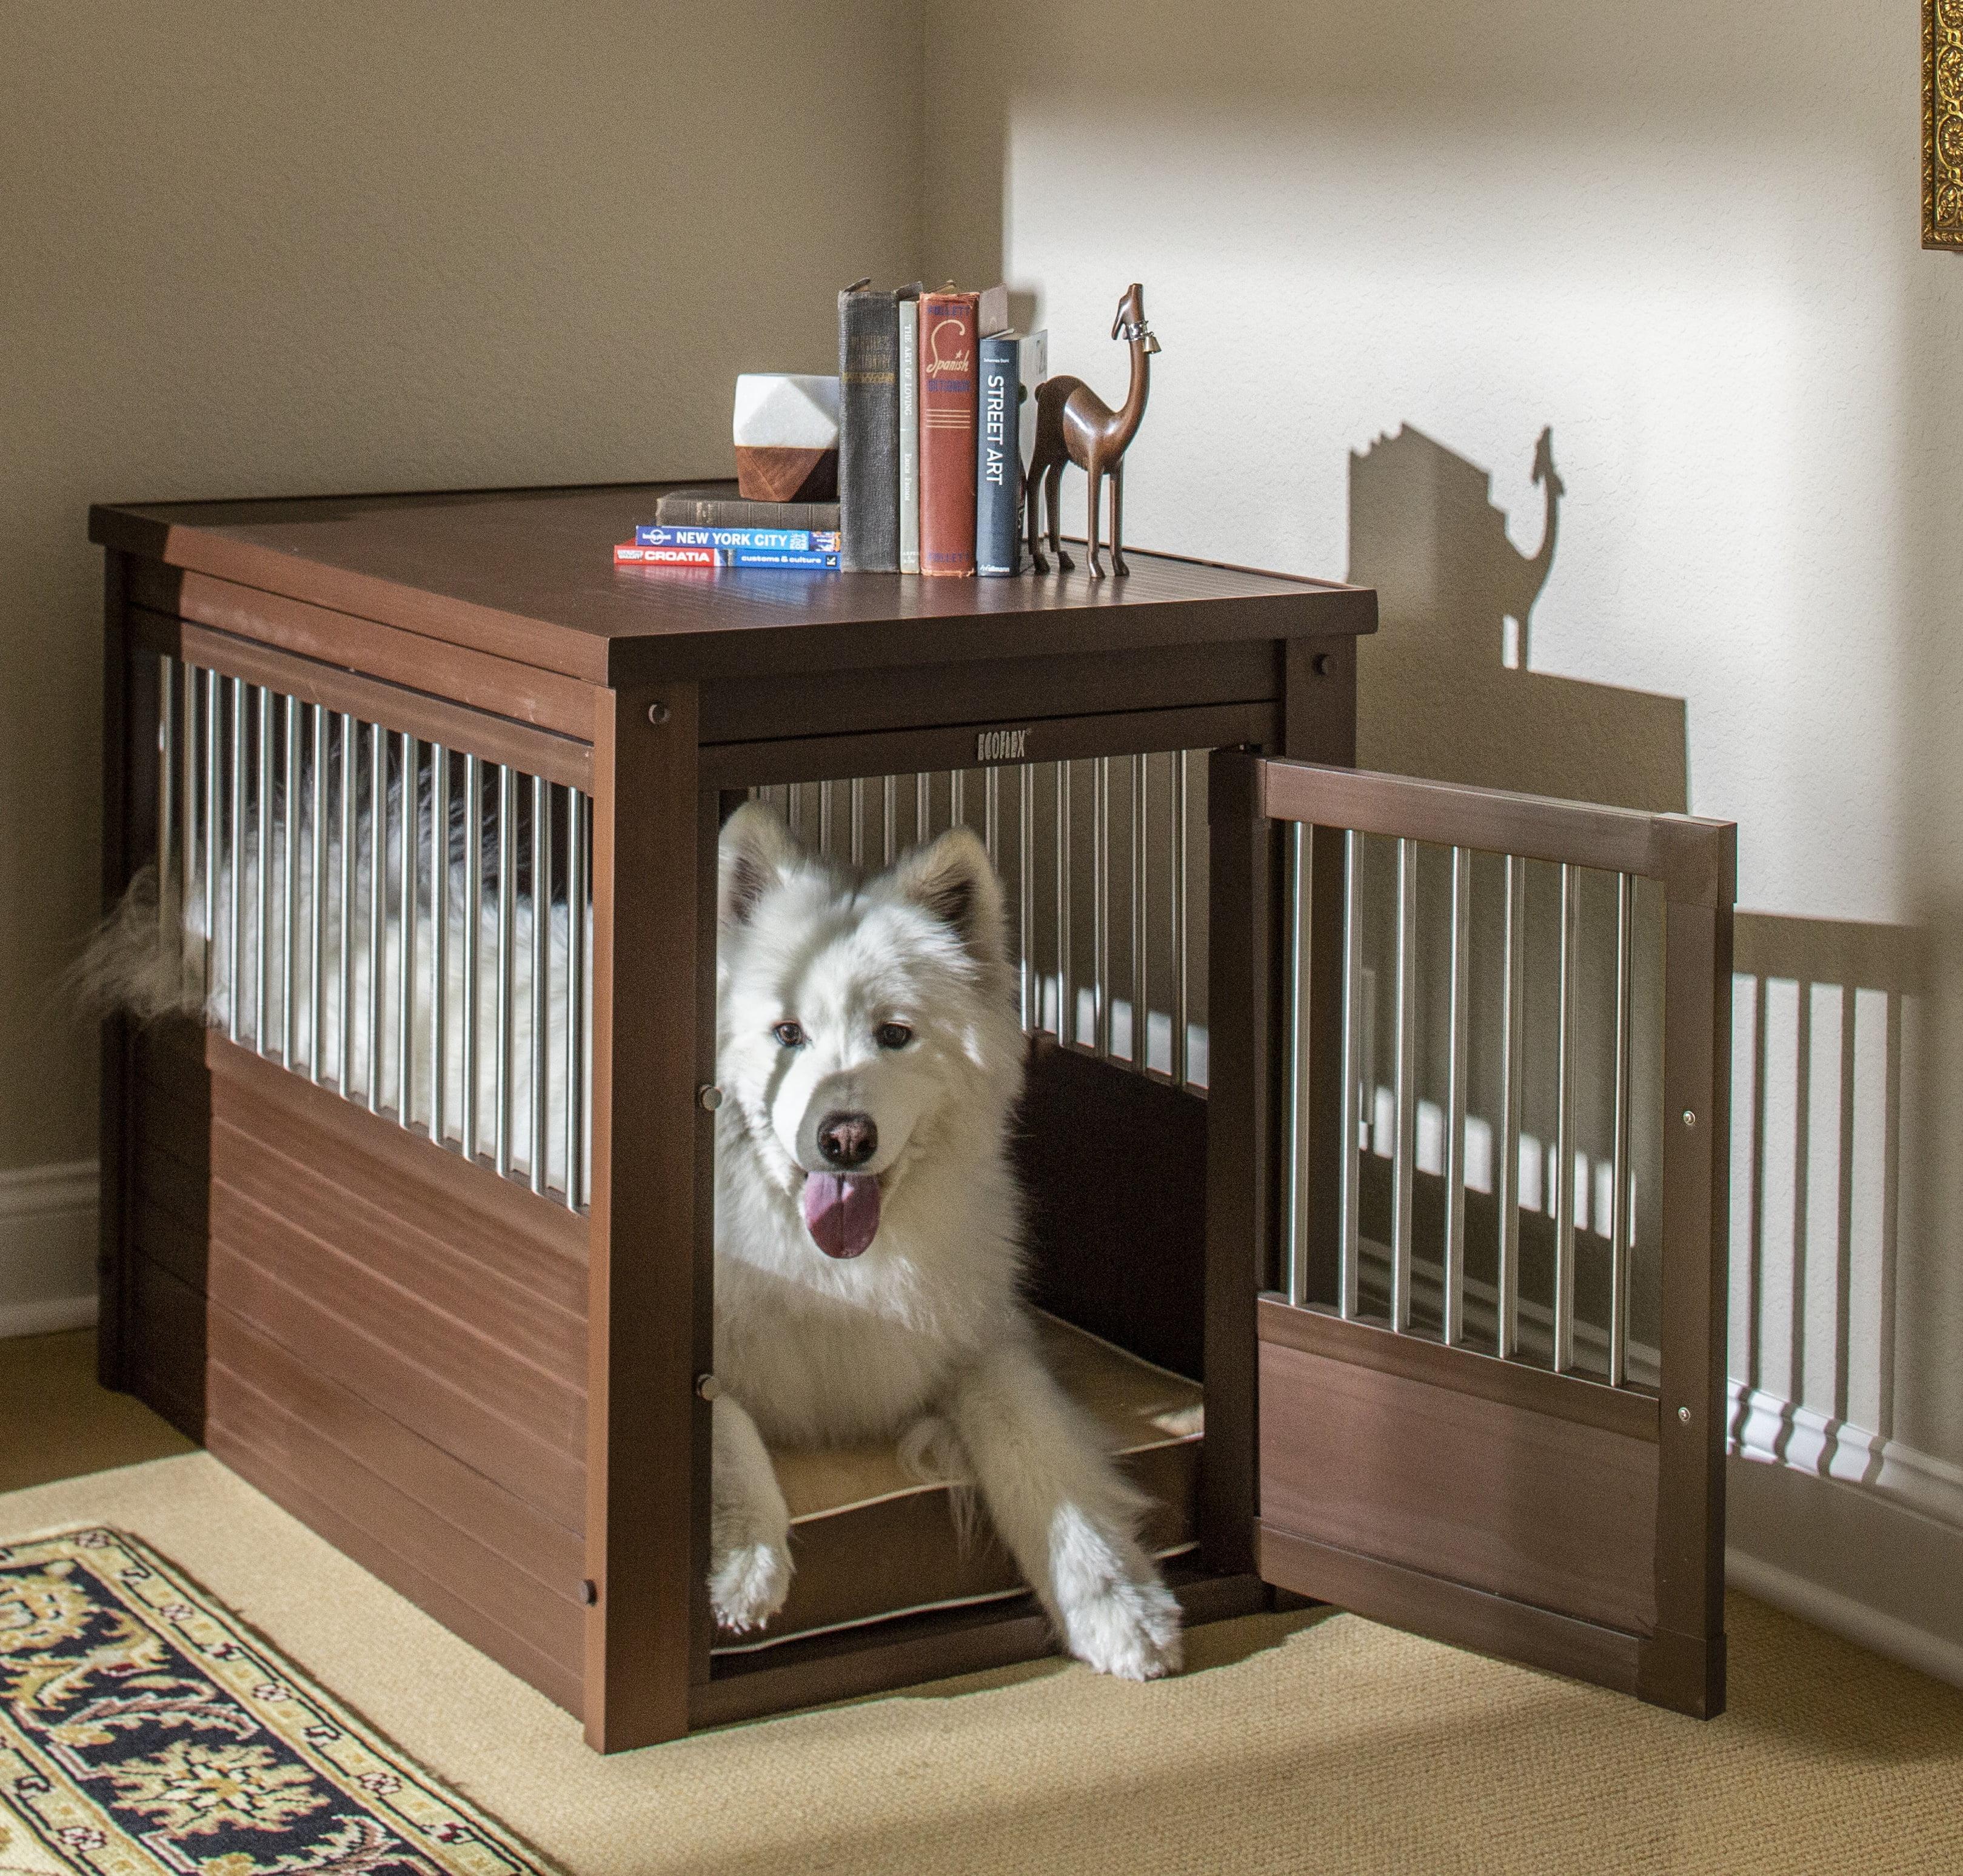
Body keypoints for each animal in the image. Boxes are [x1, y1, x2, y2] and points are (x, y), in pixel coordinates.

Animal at [706, 804, 1177, 1687]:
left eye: (894, 1034)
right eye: (787, 1032)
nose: (845, 1136)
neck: (836, 1270)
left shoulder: (980, 1343)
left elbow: (1043, 1458)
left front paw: (1118, 1606)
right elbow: (722, 1422)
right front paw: (743, 1559)